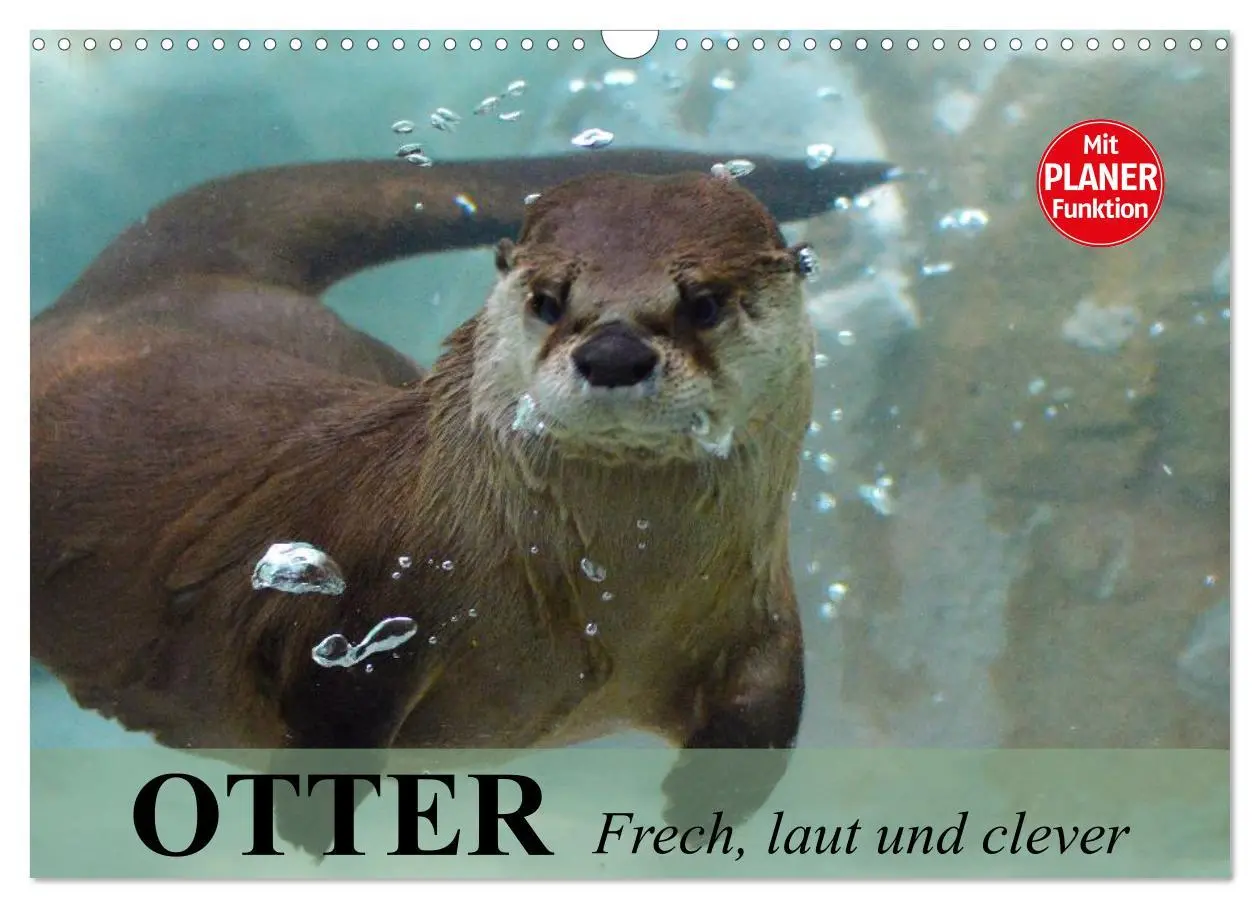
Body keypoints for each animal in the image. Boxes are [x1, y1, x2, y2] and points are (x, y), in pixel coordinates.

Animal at [31, 150, 892, 854]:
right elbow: (330, 713)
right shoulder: (368, 599)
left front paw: (698, 813)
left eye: (704, 302)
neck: (605, 604)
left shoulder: (758, 611)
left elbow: (765, 715)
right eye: (549, 299)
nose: (613, 352)